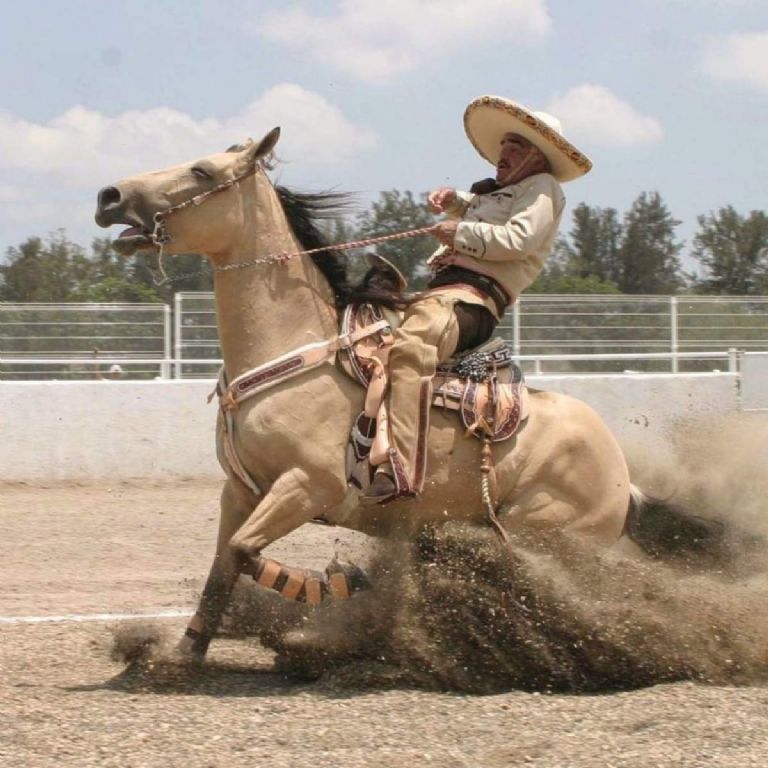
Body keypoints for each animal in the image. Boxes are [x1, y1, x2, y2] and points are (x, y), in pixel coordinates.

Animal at [96, 129, 720, 656]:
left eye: (201, 171)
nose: (109, 194)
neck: (295, 346)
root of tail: (623, 477)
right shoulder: (240, 492)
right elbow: (221, 567)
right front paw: (180, 656)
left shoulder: (306, 486)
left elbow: (244, 553)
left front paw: (338, 586)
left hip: (547, 538)